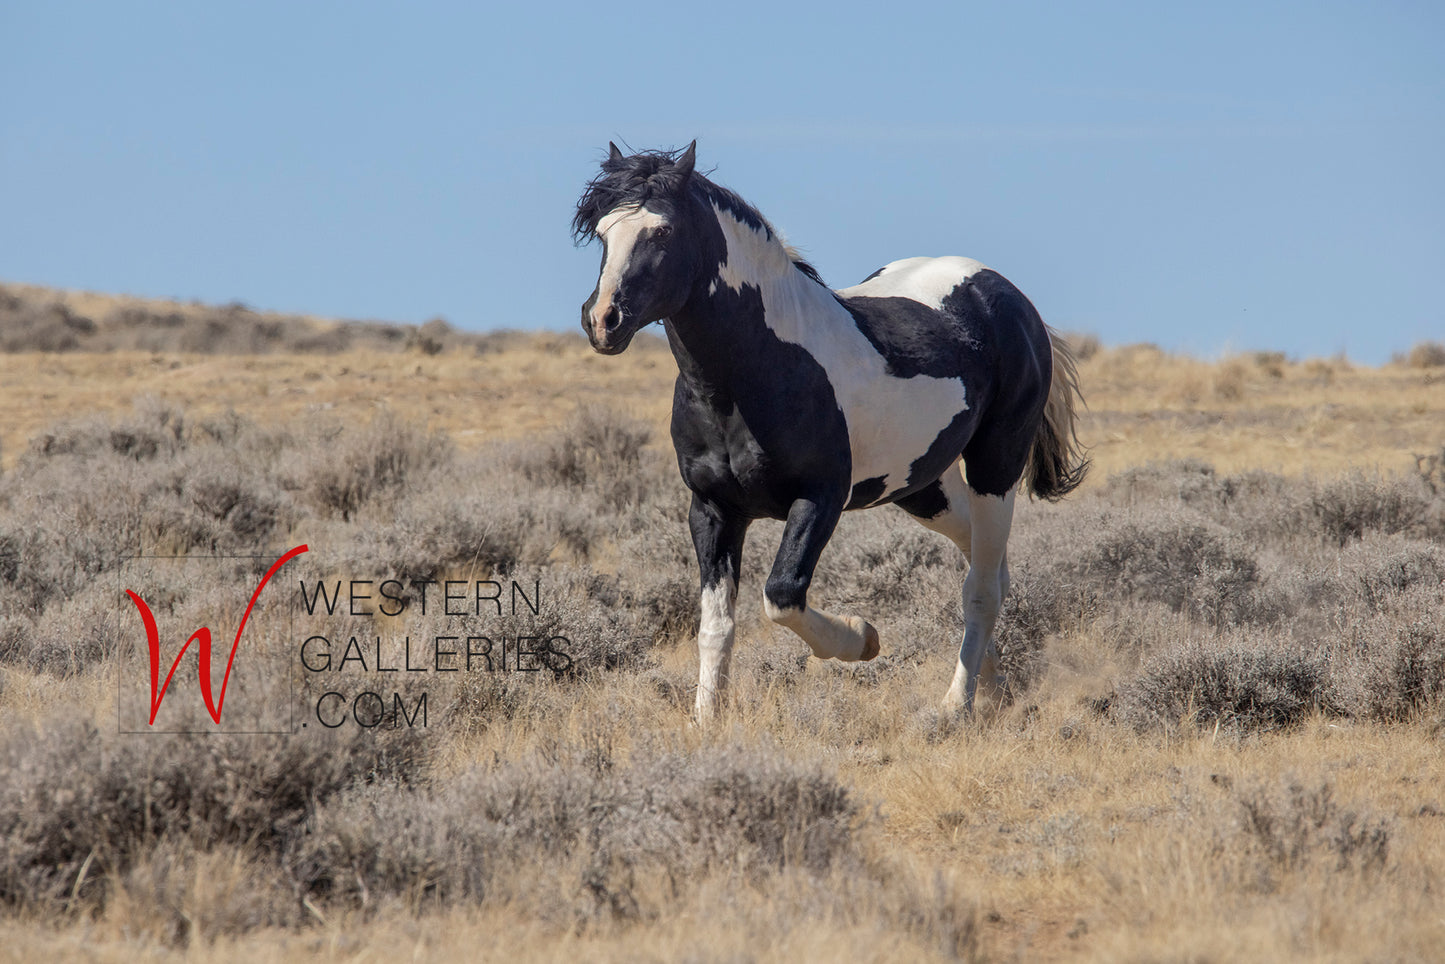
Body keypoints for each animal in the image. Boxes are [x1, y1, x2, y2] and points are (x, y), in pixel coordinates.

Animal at [572, 139, 1086, 719]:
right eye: (602, 232)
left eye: (662, 232)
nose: (602, 319)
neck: (758, 371)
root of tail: (1008, 296)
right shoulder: (712, 509)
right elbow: (716, 625)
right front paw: (706, 719)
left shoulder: (821, 498)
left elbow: (781, 596)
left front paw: (862, 638)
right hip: (923, 487)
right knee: (986, 564)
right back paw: (993, 686)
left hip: (995, 466)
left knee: (980, 587)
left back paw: (957, 704)